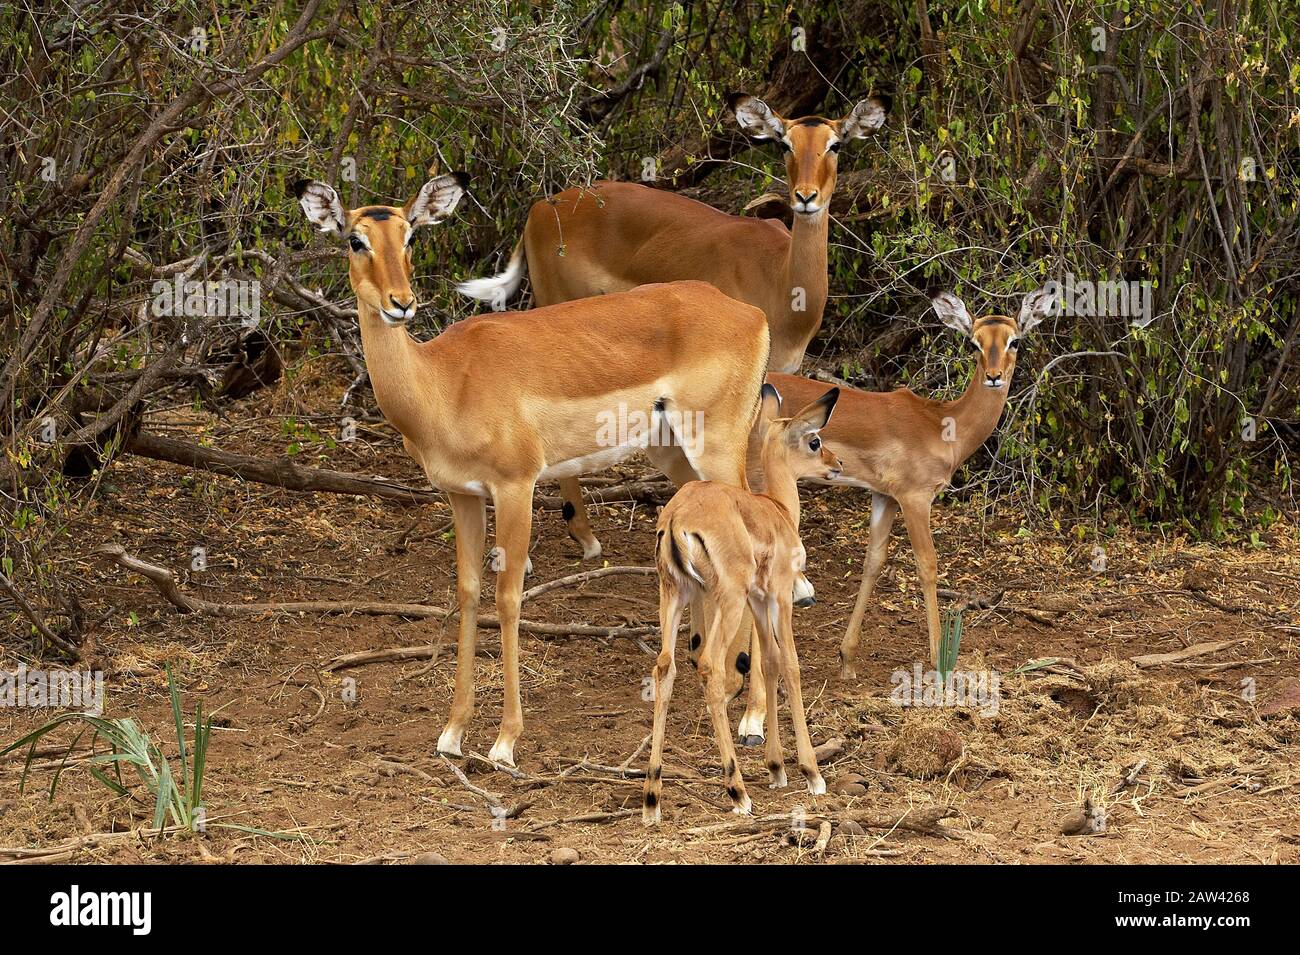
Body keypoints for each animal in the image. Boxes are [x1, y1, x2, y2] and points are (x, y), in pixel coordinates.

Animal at [292, 175, 769, 764]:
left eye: (410, 236)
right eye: (355, 239)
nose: (401, 303)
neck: (443, 383)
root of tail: (749, 314)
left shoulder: (515, 486)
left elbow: (508, 596)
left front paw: (505, 741)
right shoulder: (463, 495)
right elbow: (468, 591)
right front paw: (452, 732)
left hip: (718, 447)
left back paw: (752, 719)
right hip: (676, 455)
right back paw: (718, 686)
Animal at [642, 384, 842, 826]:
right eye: (814, 440)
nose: (836, 464)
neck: (777, 510)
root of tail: (678, 517)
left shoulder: (759, 599)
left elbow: (768, 661)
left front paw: (777, 768)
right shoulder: (779, 596)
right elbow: (790, 664)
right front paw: (811, 773)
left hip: (676, 594)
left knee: (665, 668)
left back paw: (652, 798)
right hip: (726, 599)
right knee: (710, 666)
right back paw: (737, 792)